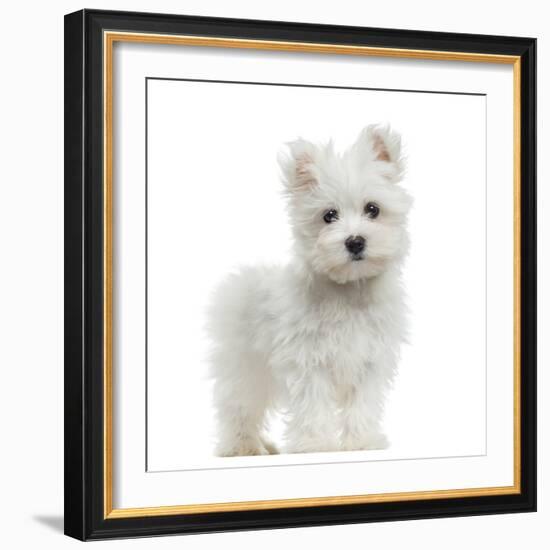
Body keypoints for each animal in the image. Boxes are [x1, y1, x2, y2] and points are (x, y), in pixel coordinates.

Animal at [208, 125, 414, 458]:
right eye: (329, 215)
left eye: (373, 209)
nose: (355, 242)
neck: (348, 291)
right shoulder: (309, 360)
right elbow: (313, 404)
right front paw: (315, 445)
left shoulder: (369, 361)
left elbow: (362, 405)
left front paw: (362, 442)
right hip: (245, 367)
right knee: (238, 408)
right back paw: (243, 447)